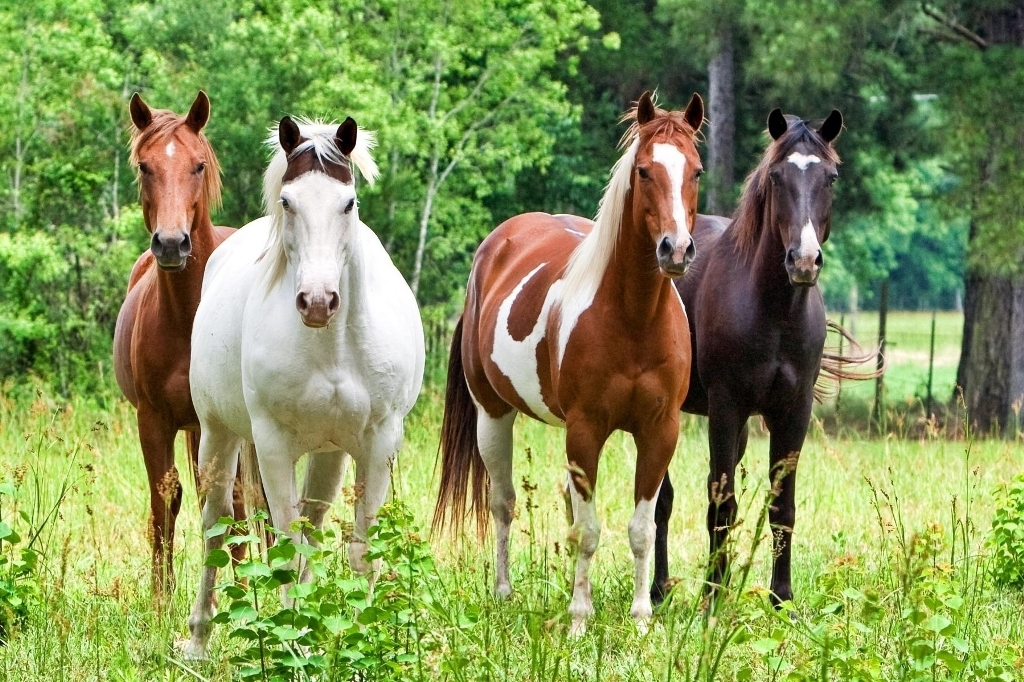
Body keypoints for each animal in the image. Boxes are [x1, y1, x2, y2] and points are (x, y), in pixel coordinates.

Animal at [113, 91, 247, 593]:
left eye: (198, 166)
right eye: (145, 166)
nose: (171, 244)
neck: (189, 317)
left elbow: (235, 504)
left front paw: (246, 592)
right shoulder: (153, 421)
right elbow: (164, 501)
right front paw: (161, 596)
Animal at [184, 114, 423, 655]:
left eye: (348, 202)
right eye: (288, 201)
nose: (317, 301)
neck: (332, 347)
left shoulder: (379, 442)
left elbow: (358, 550)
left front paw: (360, 639)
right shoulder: (273, 445)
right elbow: (286, 548)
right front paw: (294, 644)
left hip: (330, 454)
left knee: (311, 530)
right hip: (218, 434)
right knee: (214, 529)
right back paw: (198, 640)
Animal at [432, 93, 704, 634]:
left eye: (697, 171)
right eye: (644, 171)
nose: (677, 249)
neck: (634, 319)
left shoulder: (660, 431)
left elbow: (640, 528)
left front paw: (642, 619)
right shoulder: (585, 431)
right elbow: (589, 529)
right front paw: (580, 619)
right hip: (492, 415)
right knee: (503, 503)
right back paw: (504, 592)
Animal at [647, 107, 872, 606]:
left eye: (830, 178)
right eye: (775, 177)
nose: (803, 260)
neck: (774, 312)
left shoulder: (793, 411)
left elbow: (781, 506)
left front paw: (781, 598)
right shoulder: (725, 407)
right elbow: (721, 503)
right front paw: (713, 597)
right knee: (662, 498)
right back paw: (659, 589)